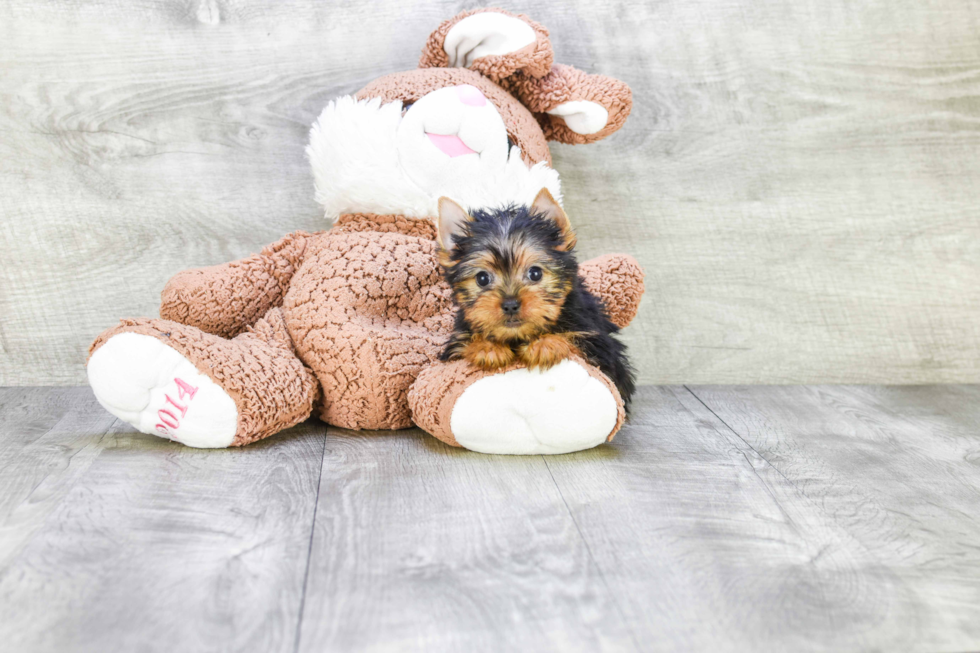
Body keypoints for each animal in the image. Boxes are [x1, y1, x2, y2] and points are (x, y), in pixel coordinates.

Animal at [436, 186, 636, 404]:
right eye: (482, 278)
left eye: (535, 273)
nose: (510, 304)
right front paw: (487, 347)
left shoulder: (601, 348)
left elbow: (576, 341)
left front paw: (545, 344)